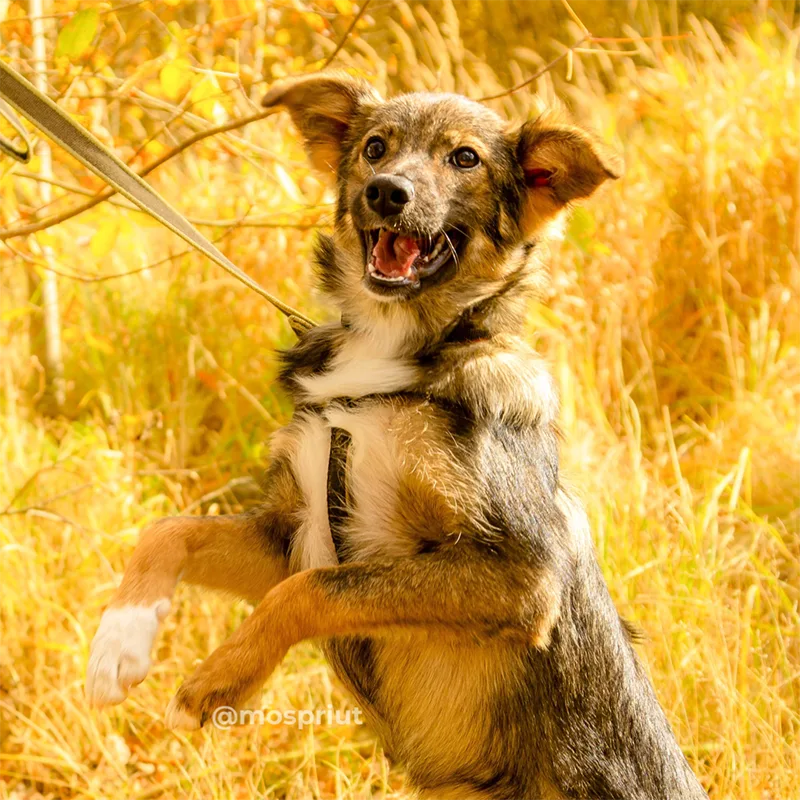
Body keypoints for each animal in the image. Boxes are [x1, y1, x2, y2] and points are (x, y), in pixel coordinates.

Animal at [86, 73, 708, 800]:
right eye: (375, 148)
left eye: (465, 158)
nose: (387, 192)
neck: (391, 350)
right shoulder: (291, 534)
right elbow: (171, 531)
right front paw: (119, 641)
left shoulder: (520, 574)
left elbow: (309, 592)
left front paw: (219, 678)